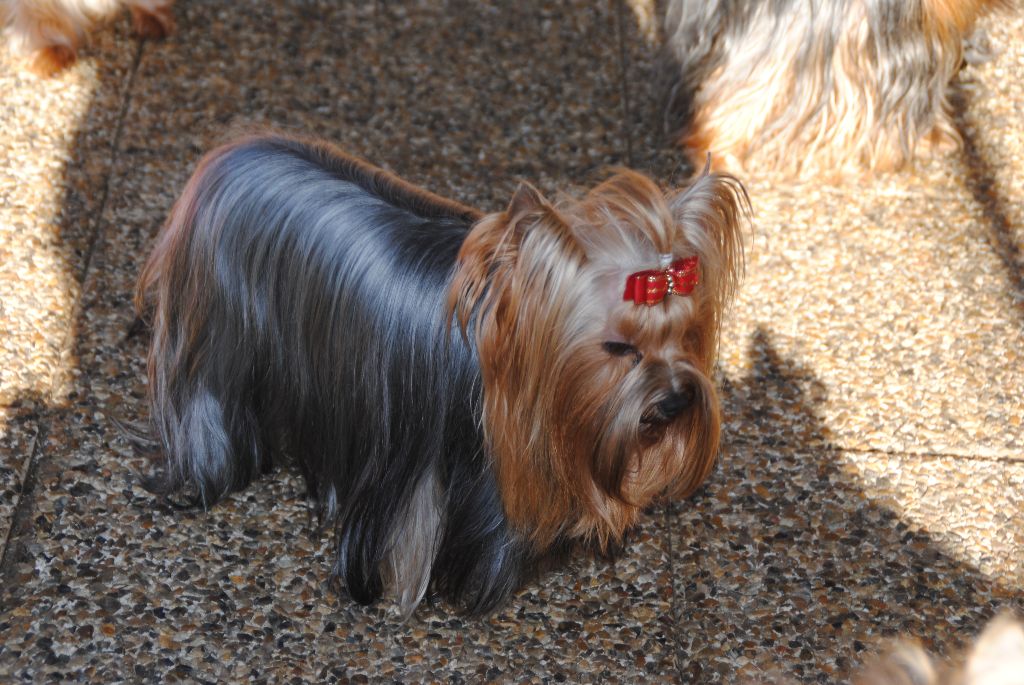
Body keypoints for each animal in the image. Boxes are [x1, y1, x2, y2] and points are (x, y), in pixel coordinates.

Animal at [136, 133, 745, 614]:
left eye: (689, 335)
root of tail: (231, 154)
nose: (675, 401)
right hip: (216, 339)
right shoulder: (418, 464)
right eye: (618, 348)